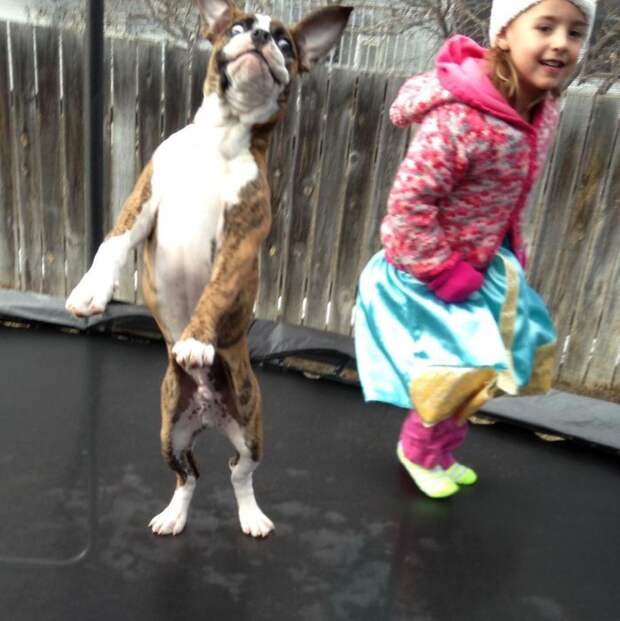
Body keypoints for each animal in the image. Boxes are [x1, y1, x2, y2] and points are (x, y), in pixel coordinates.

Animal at [67, 0, 352, 536]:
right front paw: (90, 292)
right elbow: (111, 245)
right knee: (189, 476)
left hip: (251, 429)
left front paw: (197, 339)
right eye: (237, 27)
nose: (260, 38)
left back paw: (252, 515)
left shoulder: (241, 236)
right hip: (169, 433)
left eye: (286, 45)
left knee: (239, 473)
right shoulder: (143, 200)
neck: (220, 138)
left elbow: (215, 292)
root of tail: (209, 413)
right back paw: (174, 515)